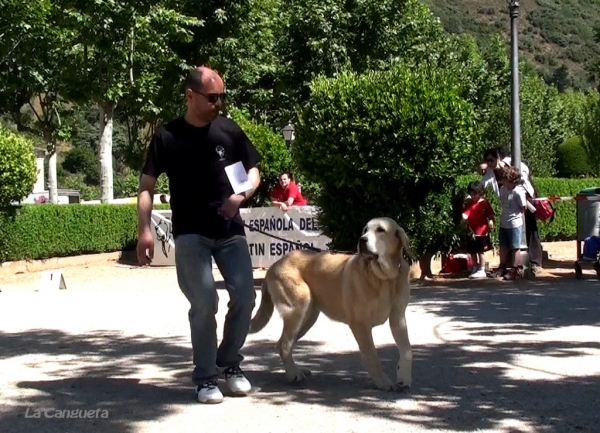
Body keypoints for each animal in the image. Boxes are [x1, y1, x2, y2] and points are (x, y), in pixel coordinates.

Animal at [247, 218, 412, 390]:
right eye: (365, 230)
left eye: (380, 230)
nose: (362, 240)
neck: (385, 278)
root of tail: (274, 266)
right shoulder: (361, 325)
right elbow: (372, 356)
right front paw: (383, 382)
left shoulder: (398, 318)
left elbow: (407, 351)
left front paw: (404, 376)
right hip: (298, 308)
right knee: (284, 344)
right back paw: (293, 374)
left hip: (308, 317)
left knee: (284, 344)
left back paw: (296, 370)